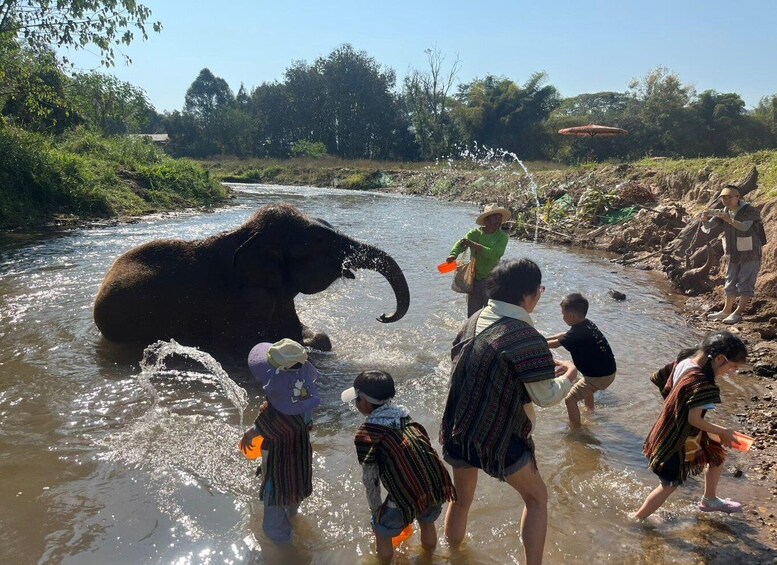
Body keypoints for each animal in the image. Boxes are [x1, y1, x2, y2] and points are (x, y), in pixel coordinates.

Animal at [93, 203, 410, 352]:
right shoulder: (246, 301)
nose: (383, 315)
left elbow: (307, 334)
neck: (245, 234)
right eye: (320, 240)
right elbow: (250, 345)